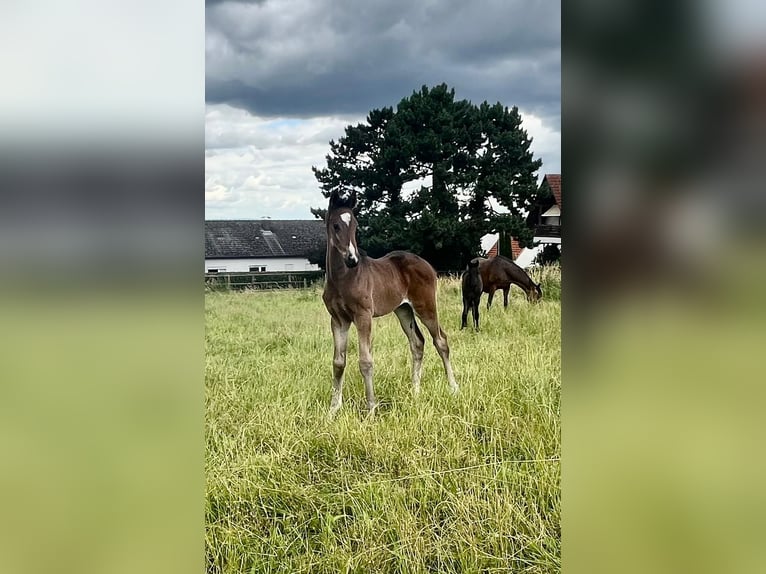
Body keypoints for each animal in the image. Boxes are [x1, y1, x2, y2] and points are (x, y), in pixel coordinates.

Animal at [320, 191, 460, 416]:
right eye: (335, 225)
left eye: (356, 225)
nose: (352, 259)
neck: (343, 279)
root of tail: (427, 265)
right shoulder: (338, 320)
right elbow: (338, 362)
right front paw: (333, 410)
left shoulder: (363, 316)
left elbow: (365, 361)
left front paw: (371, 409)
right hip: (403, 310)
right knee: (417, 343)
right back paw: (415, 391)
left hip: (425, 306)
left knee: (441, 341)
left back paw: (453, 388)